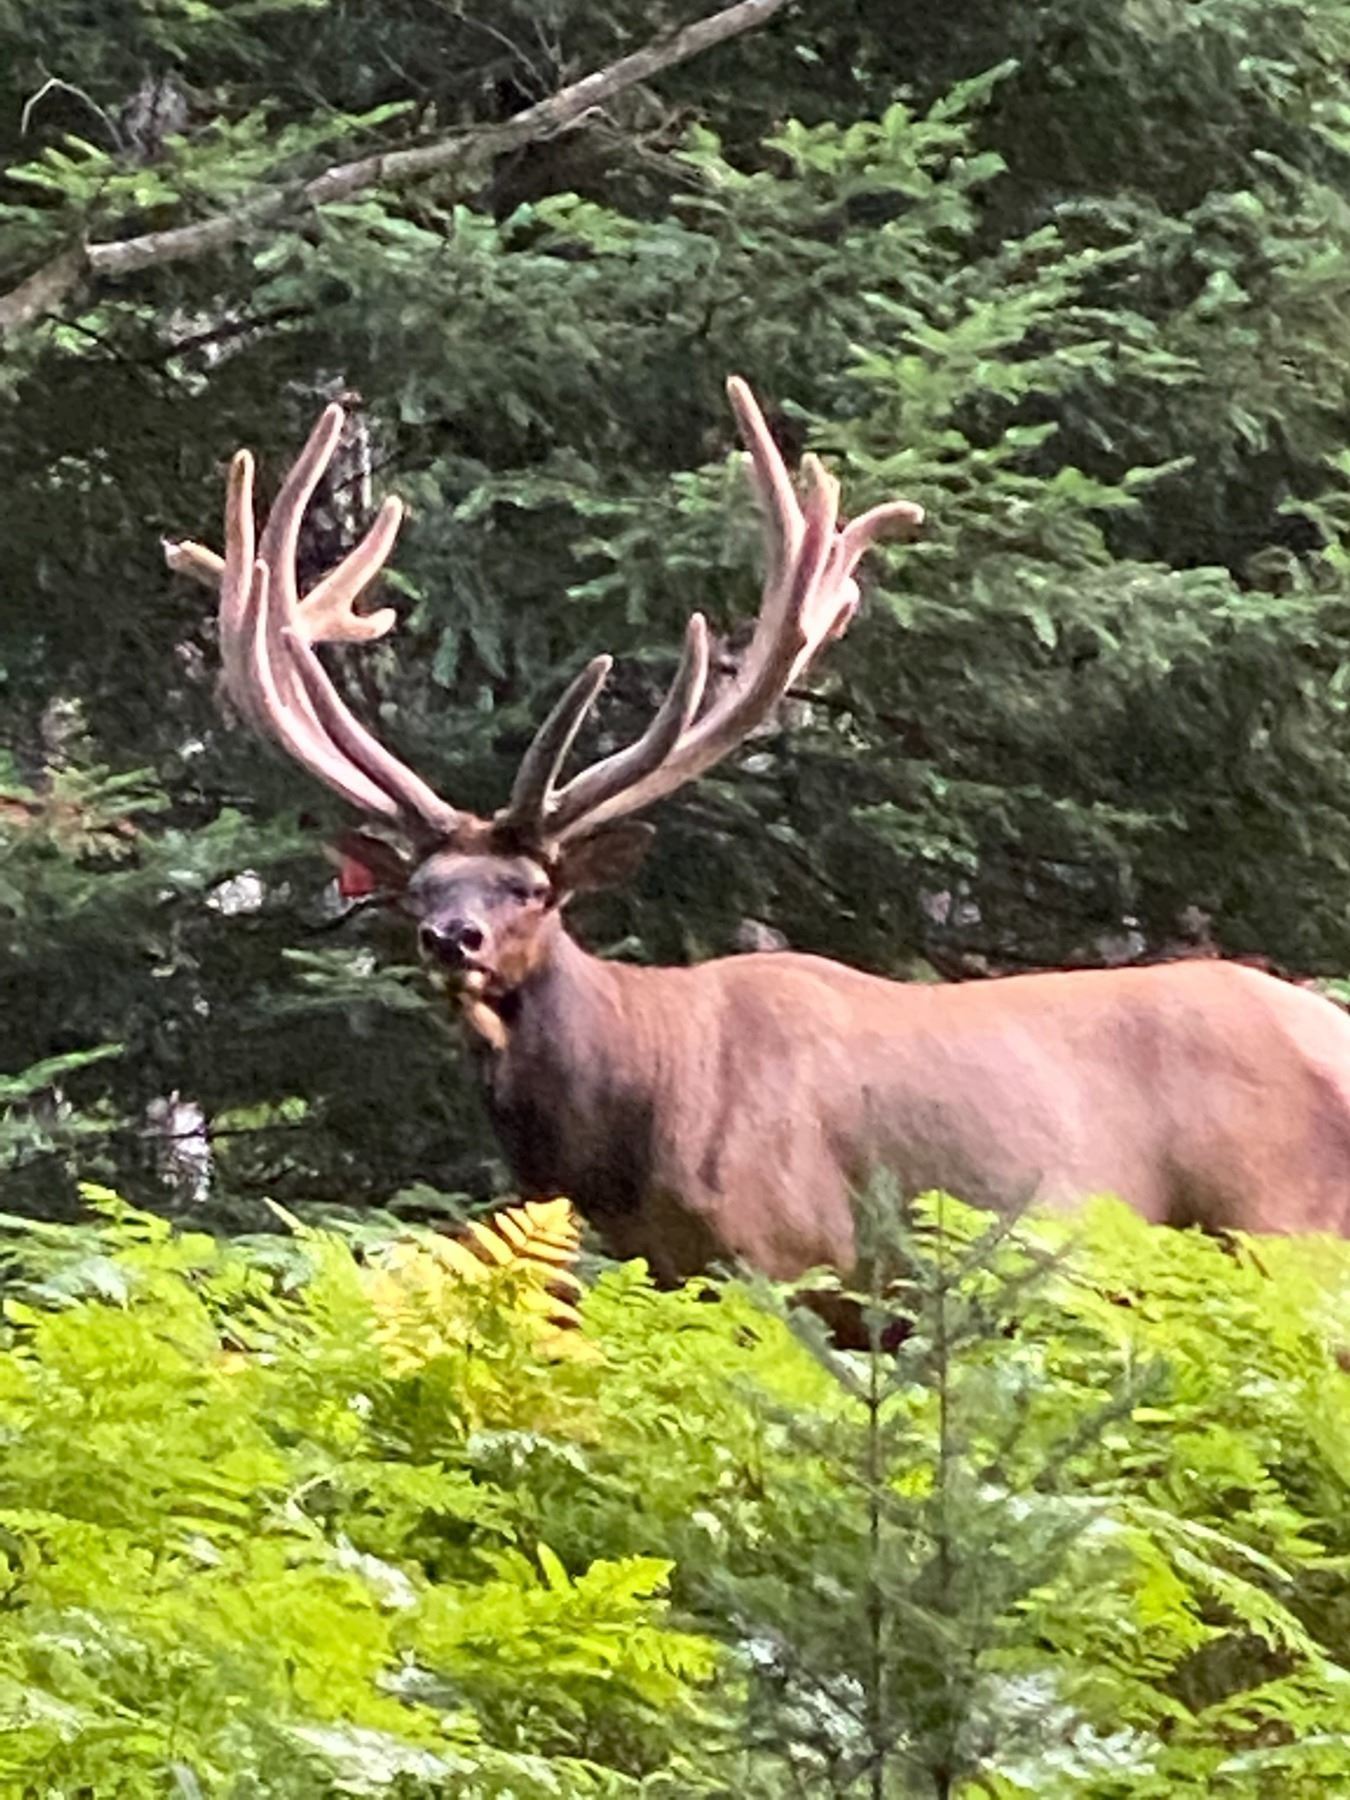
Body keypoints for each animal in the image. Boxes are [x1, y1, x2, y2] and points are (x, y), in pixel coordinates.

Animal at [165, 378, 1350, 1309]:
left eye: (533, 888)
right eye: (419, 889)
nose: (450, 939)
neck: (633, 1129)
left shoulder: (790, 1257)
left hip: (1280, 1231)